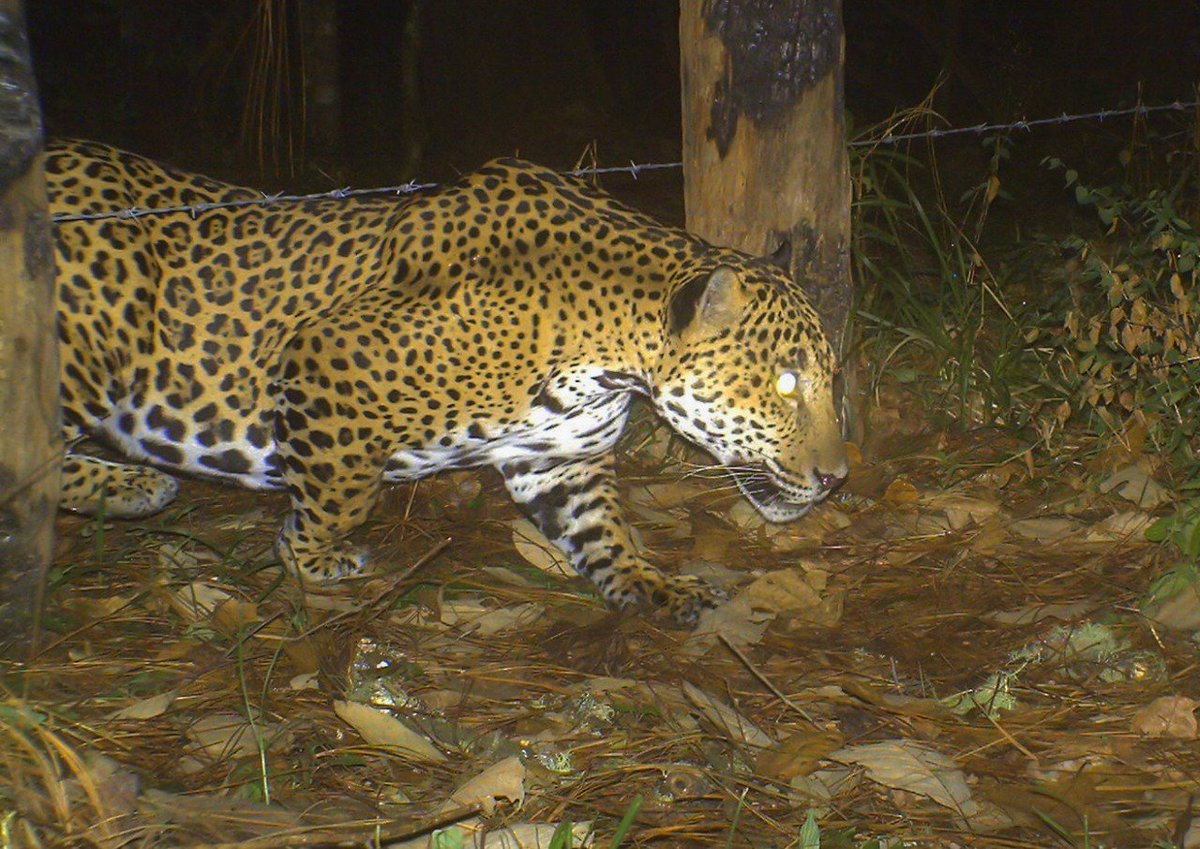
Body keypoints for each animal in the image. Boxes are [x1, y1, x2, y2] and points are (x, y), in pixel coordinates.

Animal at [47, 139, 848, 626]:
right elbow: (346, 492)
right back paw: (135, 484)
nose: (838, 477)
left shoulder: (560, 457)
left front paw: (653, 584)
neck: (605, 347)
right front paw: (311, 557)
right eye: (784, 383)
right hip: (95, 317)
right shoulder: (326, 360)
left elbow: (605, 531)